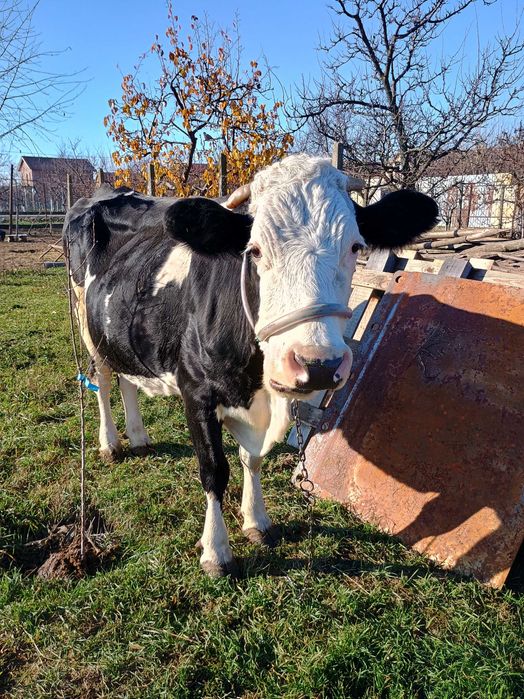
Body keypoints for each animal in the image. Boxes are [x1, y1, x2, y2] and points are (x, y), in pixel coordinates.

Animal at [63, 154, 438, 576]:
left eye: (356, 246)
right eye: (254, 250)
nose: (318, 365)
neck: (255, 386)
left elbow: (252, 458)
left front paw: (256, 520)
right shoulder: (197, 392)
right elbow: (214, 470)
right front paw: (216, 550)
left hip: (119, 329)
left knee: (128, 378)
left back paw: (139, 436)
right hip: (86, 321)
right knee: (103, 381)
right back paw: (110, 443)